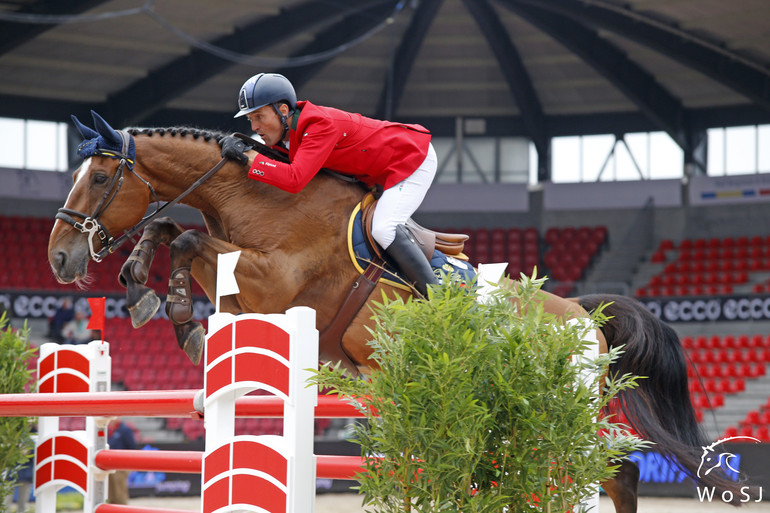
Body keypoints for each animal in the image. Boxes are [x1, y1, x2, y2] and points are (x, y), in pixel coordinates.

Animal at [46, 113, 736, 512]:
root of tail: (583, 316)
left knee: (603, 470)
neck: (263, 199)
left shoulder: (274, 285)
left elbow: (188, 239)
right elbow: (169, 228)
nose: (58, 257)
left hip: (558, 406)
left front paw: (173, 311)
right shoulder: (248, 295)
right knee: (617, 472)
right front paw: (146, 291)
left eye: (101, 177)